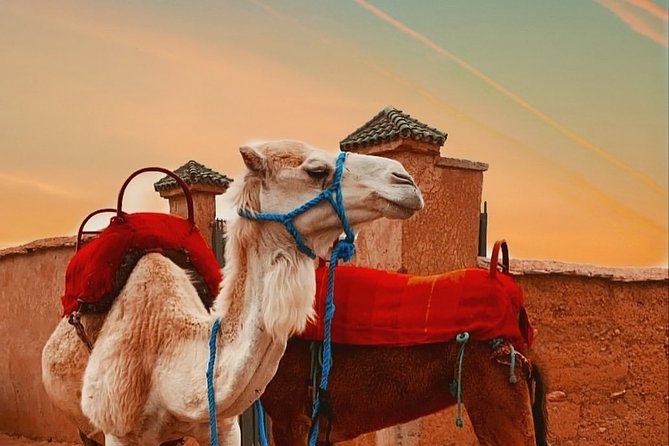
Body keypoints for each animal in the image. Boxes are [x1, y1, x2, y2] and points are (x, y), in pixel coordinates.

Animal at [41, 140, 424, 446]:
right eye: (316, 170)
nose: (405, 180)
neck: (167, 348)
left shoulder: (223, 425)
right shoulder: (117, 430)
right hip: (85, 426)